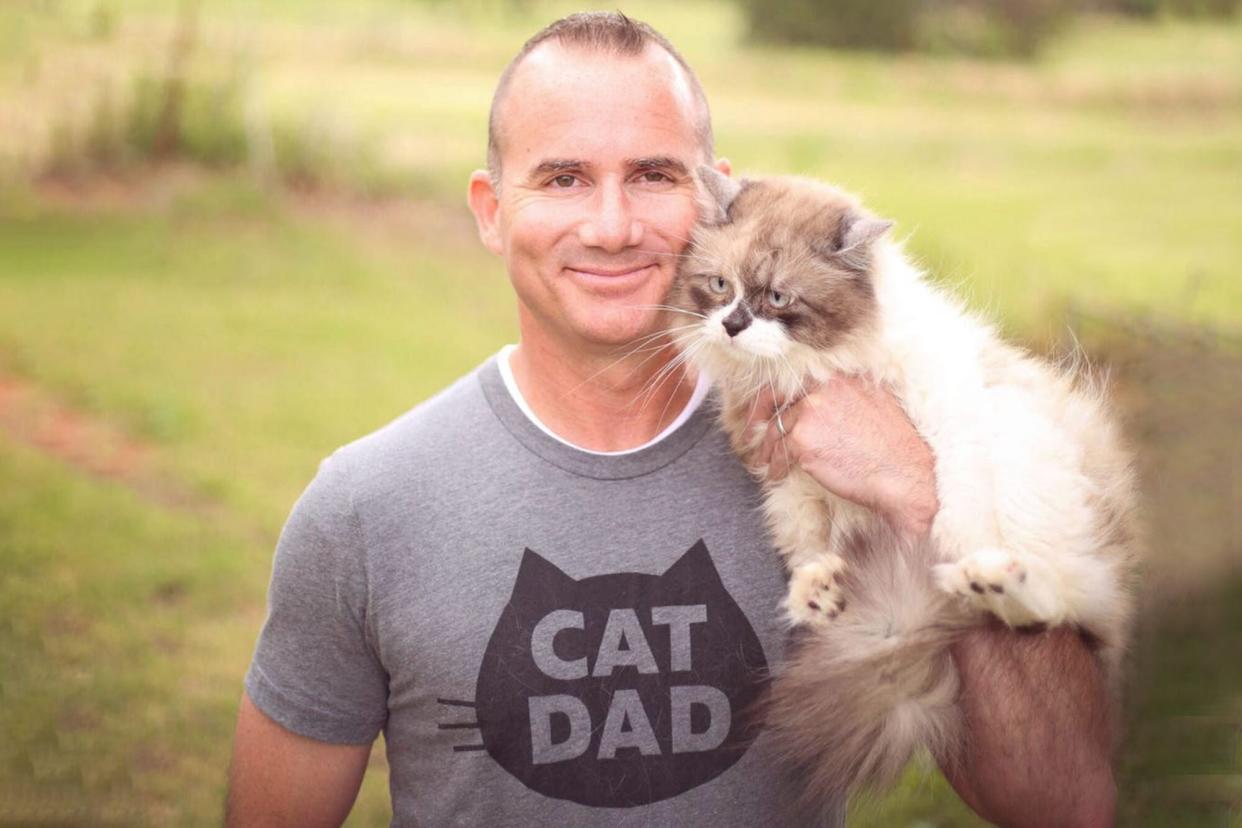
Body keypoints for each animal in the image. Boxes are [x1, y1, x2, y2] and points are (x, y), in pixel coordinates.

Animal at [665, 166, 1137, 804]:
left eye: (778, 299)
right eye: (719, 286)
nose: (733, 325)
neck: (808, 366)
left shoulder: (949, 412)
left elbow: (956, 495)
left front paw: (956, 546)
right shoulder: (790, 482)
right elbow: (807, 546)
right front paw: (815, 593)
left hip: (1021, 440)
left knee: (1056, 600)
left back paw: (985, 577)